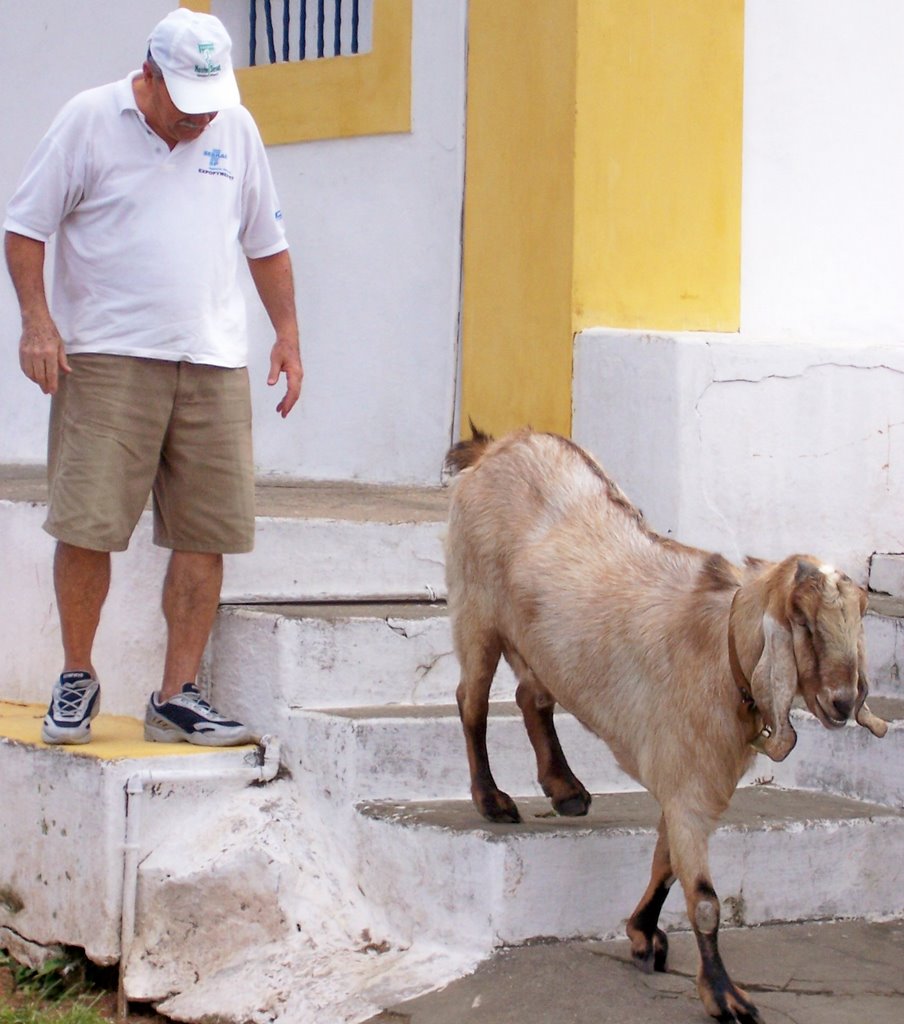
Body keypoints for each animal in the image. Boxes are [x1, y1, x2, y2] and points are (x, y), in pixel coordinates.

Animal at [442, 428, 888, 1024]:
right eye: (804, 625)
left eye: (856, 622)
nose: (842, 703)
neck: (722, 652)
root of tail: (498, 447)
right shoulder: (690, 783)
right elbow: (704, 899)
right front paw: (724, 995)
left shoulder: (688, 786)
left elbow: (666, 862)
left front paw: (642, 934)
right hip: (476, 610)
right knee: (472, 701)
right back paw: (493, 800)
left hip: (536, 643)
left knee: (530, 696)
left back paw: (566, 789)